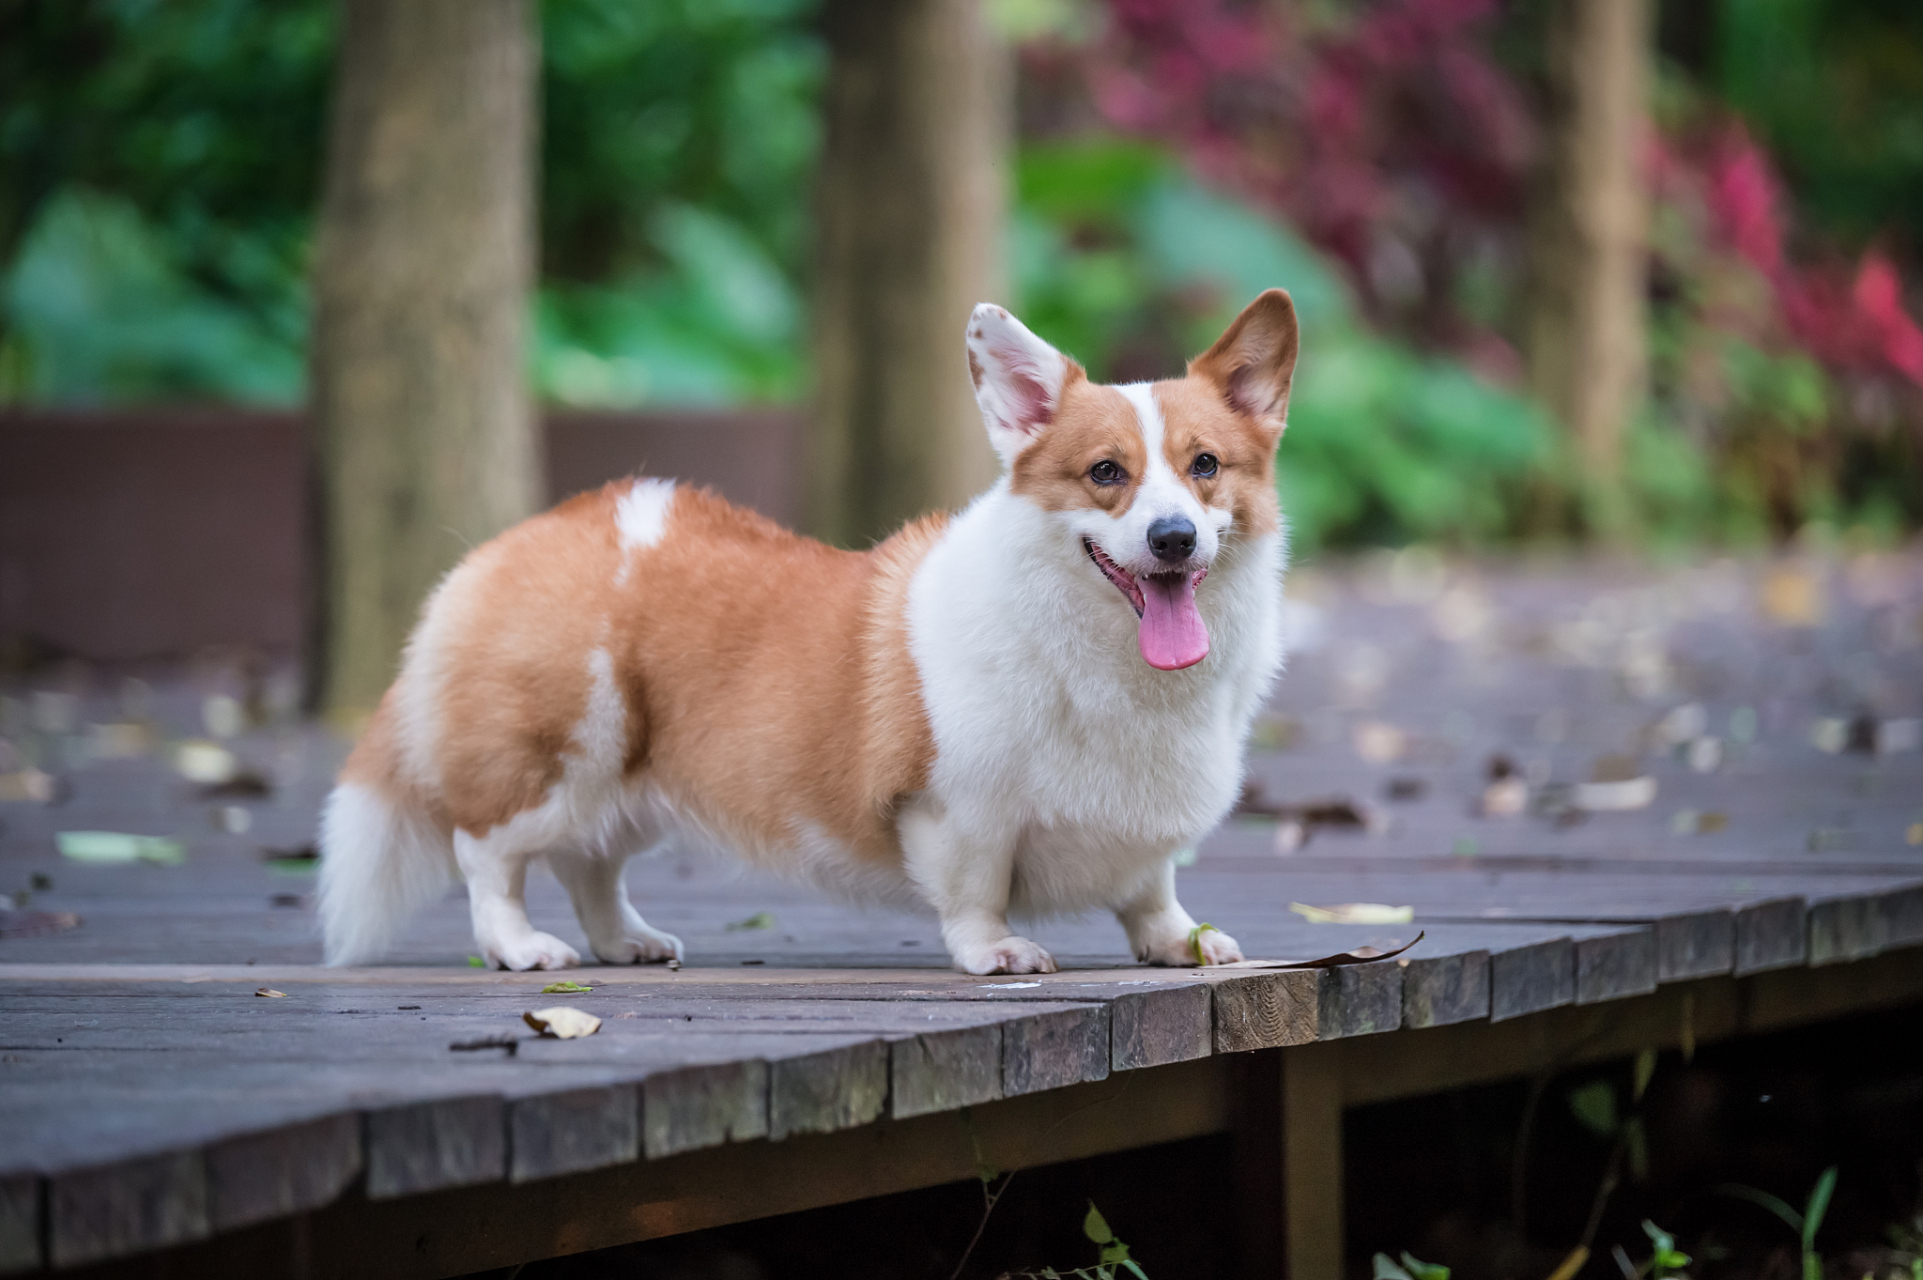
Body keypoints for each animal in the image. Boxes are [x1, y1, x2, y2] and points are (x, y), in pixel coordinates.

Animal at [319, 286, 1292, 968]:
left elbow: (1151, 889)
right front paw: (996, 954)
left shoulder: (1144, 835)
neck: (1107, 661)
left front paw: (1182, 942)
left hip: (629, 783)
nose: (1173, 539)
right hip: (561, 761)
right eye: (1105, 474)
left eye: (1205, 466)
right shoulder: (960, 808)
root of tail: (521, 537)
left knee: (589, 865)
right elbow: (975, 892)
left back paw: (627, 942)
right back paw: (520, 948)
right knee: (486, 853)